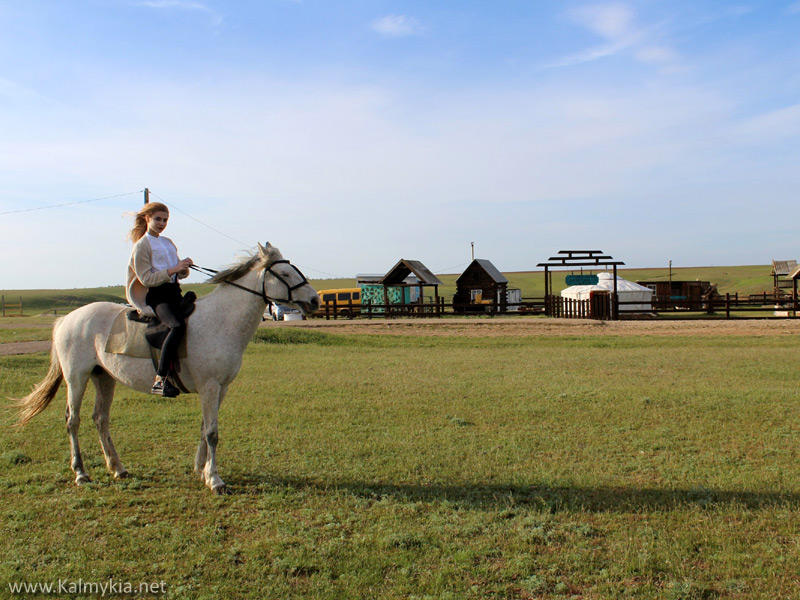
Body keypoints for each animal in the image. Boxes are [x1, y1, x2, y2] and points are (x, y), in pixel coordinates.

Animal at [14, 243, 318, 492]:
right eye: (286, 274)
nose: (315, 300)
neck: (220, 321)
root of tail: (67, 319)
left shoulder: (220, 388)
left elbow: (205, 427)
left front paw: (202, 471)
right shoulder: (210, 386)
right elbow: (212, 433)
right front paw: (215, 480)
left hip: (104, 378)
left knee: (100, 419)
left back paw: (118, 468)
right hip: (76, 378)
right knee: (72, 420)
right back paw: (81, 473)